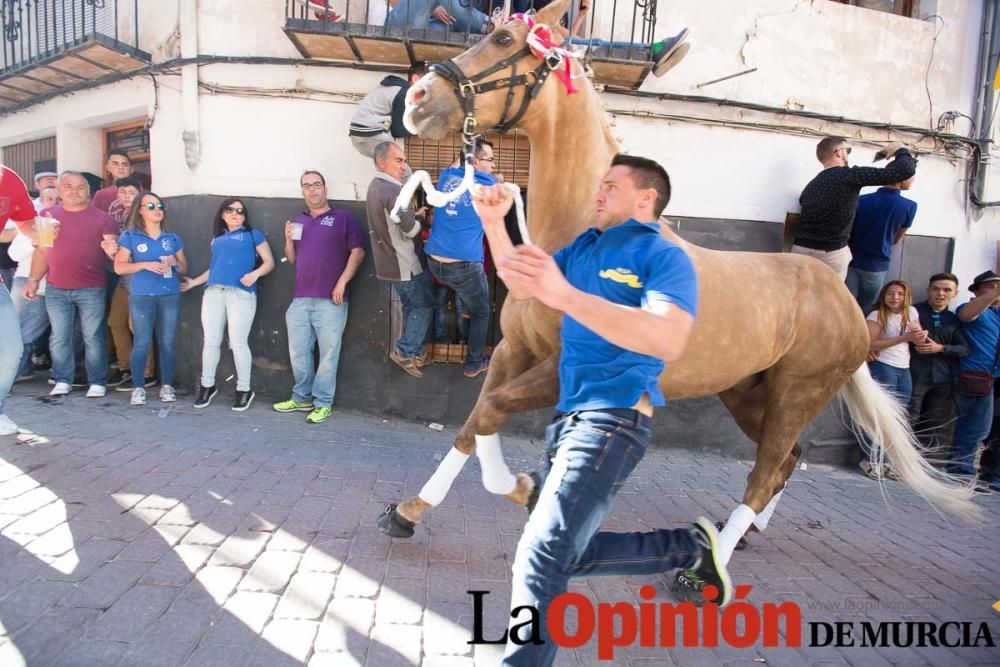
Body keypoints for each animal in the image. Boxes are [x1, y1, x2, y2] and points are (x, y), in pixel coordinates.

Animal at [378, 0, 980, 576]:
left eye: (504, 39)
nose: (418, 98)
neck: (579, 240)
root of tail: (848, 305)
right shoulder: (514, 350)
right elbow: (472, 423)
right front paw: (408, 512)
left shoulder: (571, 366)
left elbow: (493, 412)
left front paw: (524, 488)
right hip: (745, 392)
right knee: (784, 462)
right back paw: (746, 532)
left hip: (797, 394)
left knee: (767, 471)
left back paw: (709, 568)